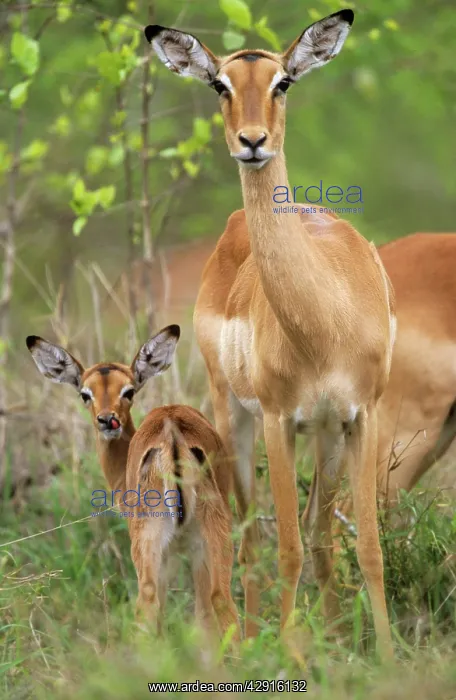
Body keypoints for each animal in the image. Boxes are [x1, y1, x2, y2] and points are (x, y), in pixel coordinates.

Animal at [26, 328, 240, 639]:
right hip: (212, 539)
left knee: (149, 603)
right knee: (221, 601)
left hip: (154, 544)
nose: (107, 420)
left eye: (128, 391)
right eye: (85, 393)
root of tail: (171, 434)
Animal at [146, 10, 395, 658]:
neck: (325, 321)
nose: (252, 142)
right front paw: (289, 657)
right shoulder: (281, 420)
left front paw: (385, 658)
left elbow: (366, 546)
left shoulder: (360, 416)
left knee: (319, 532)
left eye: (284, 82)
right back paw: (251, 640)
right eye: (220, 85)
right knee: (252, 536)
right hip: (232, 414)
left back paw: (329, 636)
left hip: (324, 435)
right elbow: (285, 548)